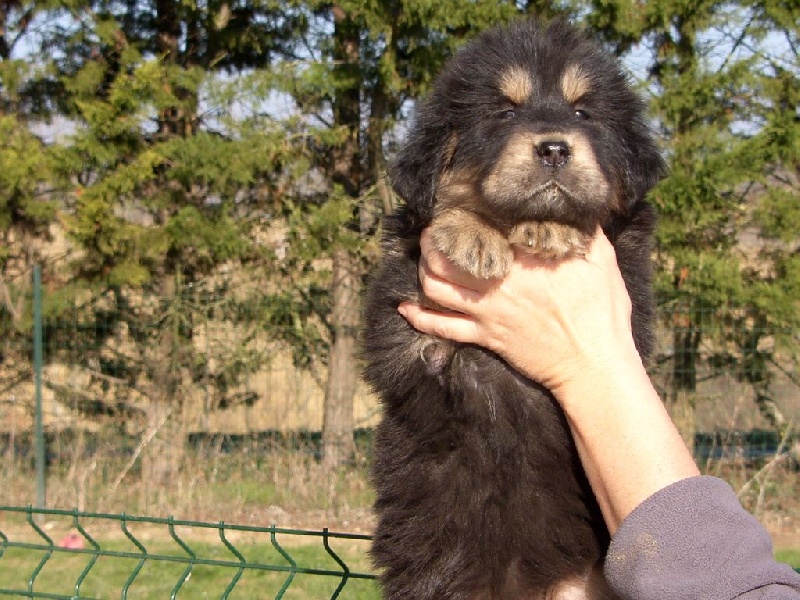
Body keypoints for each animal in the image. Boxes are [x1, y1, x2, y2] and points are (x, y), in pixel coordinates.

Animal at [363, 19, 665, 600]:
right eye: (503, 112)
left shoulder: (630, 296)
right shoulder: (405, 321)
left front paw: (552, 228)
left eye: (583, 113)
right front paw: (471, 233)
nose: (554, 149)